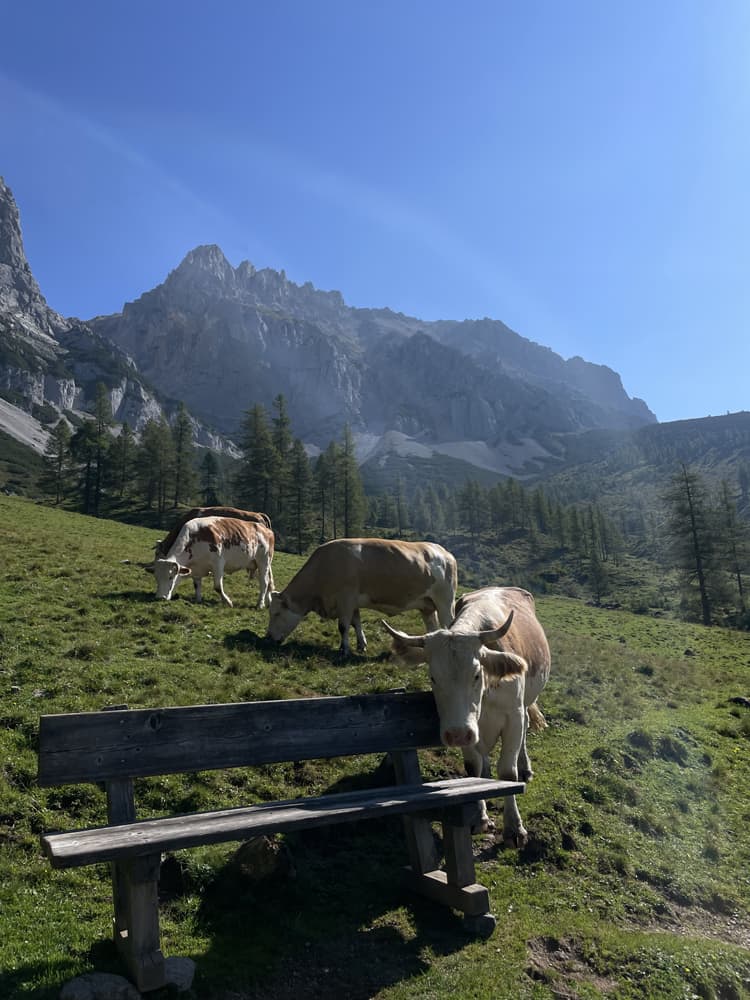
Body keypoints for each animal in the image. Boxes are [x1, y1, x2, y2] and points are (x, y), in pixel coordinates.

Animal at [146, 516, 275, 608]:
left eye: (171, 577)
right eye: (156, 577)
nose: (160, 597)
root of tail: (264, 528)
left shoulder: (218, 563)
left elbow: (218, 586)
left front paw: (228, 602)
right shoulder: (196, 568)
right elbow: (197, 585)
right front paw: (198, 600)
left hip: (263, 561)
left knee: (264, 582)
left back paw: (260, 604)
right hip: (256, 564)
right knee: (268, 582)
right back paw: (269, 601)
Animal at [266, 538, 458, 656]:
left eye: (276, 613)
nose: (268, 638)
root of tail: (445, 553)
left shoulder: (345, 598)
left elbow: (343, 626)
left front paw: (344, 649)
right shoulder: (352, 602)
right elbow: (356, 623)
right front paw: (361, 645)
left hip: (445, 602)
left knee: (448, 624)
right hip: (426, 605)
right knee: (432, 627)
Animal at [383, 586, 551, 847]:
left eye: (476, 674)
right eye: (433, 677)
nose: (458, 734)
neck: (486, 692)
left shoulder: (512, 717)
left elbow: (508, 773)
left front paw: (514, 828)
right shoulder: (467, 728)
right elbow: (474, 768)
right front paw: (479, 818)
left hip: (524, 705)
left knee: (523, 735)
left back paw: (525, 767)